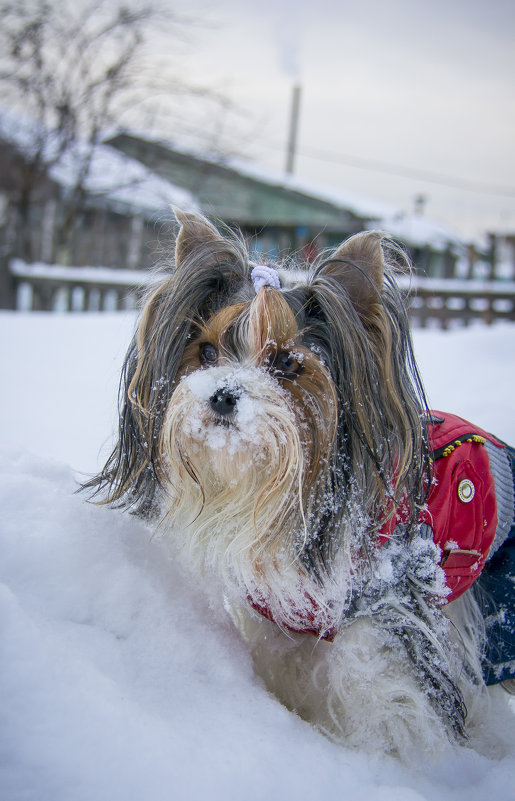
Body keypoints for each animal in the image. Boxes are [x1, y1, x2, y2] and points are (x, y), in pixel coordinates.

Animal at [85, 206, 515, 756]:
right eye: (206, 352)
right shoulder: (283, 620)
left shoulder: (389, 615)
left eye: (287, 362)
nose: (221, 395)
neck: (289, 501)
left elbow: (389, 701)